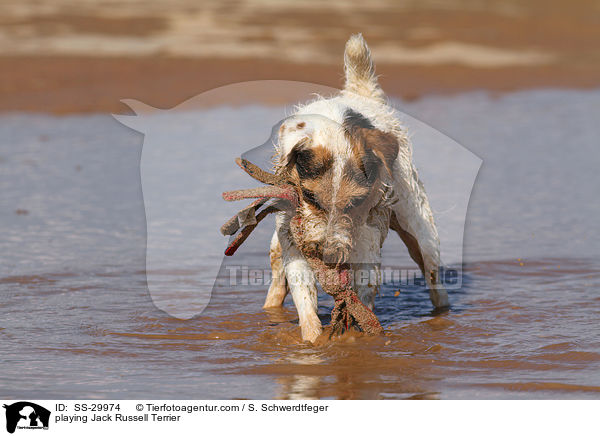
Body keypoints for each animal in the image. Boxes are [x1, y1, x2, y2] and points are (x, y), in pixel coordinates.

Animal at [262, 34, 446, 342]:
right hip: (280, 243)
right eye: (309, 197)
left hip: (421, 230)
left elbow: (363, 293)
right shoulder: (294, 242)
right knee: (277, 273)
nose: (326, 252)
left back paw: (443, 318)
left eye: (353, 204)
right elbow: (304, 296)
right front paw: (312, 341)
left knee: (435, 280)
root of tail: (361, 94)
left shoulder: (366, 243)